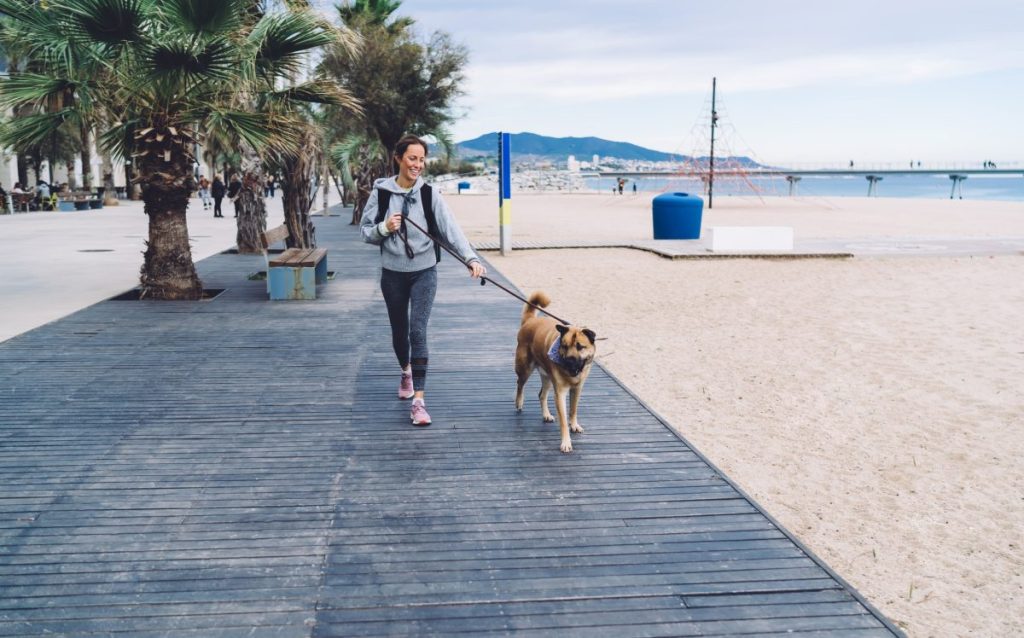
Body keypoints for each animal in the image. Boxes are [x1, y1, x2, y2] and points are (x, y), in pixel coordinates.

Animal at [516, 292, 598, 452]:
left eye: (580, 347)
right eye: (565, 346)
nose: (570, 360)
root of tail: (531, 320)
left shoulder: (577, 389)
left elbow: (573, 410)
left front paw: (574, 425)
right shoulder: (560, 393)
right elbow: (564, 420)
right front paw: (566, 442)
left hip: (547, 378)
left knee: (541, 394)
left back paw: (546, 415)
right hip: (525, 368)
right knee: (520, 384)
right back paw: (519, 402)